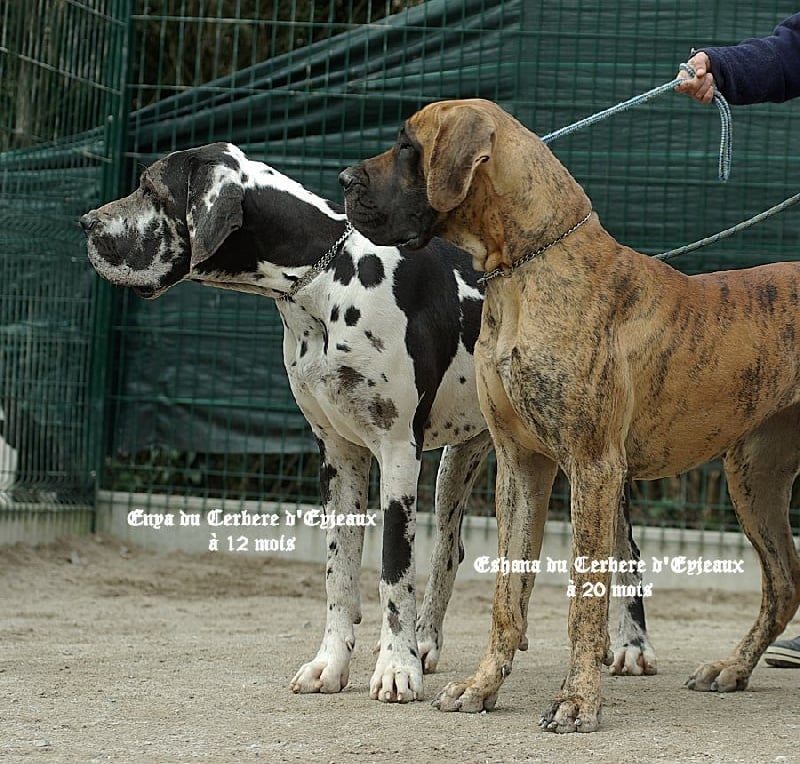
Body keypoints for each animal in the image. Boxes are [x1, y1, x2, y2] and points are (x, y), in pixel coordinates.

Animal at [79, 143, 656, 704]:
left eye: (150, 188)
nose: (85, 222)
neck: (325, 285)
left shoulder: (398, 453)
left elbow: (393, 570)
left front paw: (397, 670)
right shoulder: (339, 456)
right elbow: (340, 573)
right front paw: (333, 664)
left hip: (591, 464)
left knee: (623, 549)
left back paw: (631, 646)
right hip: (461, 463)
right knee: (449, 551)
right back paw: (428, 641)